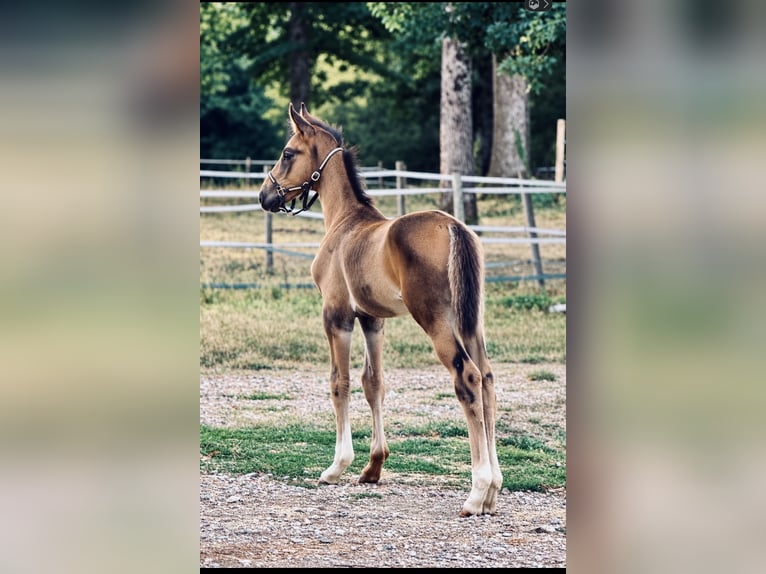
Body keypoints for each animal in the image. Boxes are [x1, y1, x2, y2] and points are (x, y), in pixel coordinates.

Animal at [258, 103, 503, 516]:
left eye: (288, 153)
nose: (265, 196)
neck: (345, 223)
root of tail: (453, 226)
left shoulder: (337, 315)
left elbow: (339, 382)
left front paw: (337, 467)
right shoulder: (373, 320)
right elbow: (374, 383)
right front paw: (373, 467)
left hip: (437, 322)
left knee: (467, 378)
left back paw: (476, 492)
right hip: (471, 322)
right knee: (486, 379)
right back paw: (494, 490)